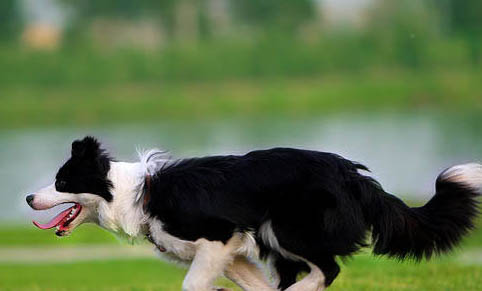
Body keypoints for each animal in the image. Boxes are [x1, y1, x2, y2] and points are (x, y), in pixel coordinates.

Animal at [28, 137, 480, 291]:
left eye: (62, 182)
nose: (30, 197)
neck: (135, 194)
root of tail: (355, 177)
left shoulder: (217, 238)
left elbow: (192, 285)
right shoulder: (232, 254)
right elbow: (252, 285)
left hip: (284, 228)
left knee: (327, 269)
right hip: (274, 238)